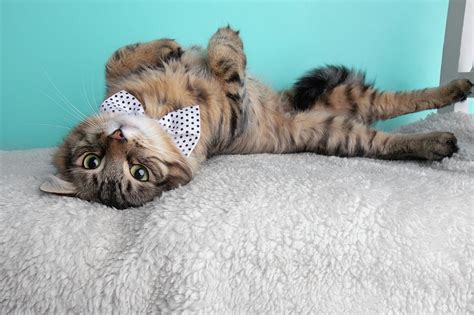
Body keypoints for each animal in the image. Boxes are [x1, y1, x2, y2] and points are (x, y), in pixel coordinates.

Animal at [39, 26, 472, 210]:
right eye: (138, 174)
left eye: (91, 161)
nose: (119, 137)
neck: (157, 111)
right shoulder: (236, 112)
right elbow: (229, 71)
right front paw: (224, 44)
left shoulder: (118, 81)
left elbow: (115, 57)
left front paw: (170, 46)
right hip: (337, 129)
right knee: (386, 131)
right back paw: (440, 139)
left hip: (336, 95)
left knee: (396, 102)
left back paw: (458, 87)